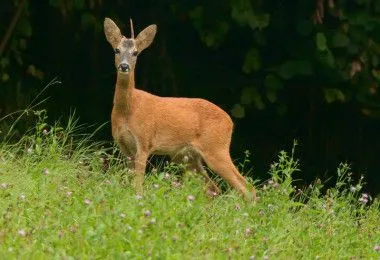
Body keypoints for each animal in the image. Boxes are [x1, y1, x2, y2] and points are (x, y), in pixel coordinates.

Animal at [104, 17, 255, 201]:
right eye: (116, 50)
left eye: (136, 53)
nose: (124, 66)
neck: (128, 110)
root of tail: (230, 122)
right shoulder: (124, 146)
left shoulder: (144, 141)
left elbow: (137, 185)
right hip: (187, 157)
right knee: (214, 188)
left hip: (217, 148)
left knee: (245, 186)